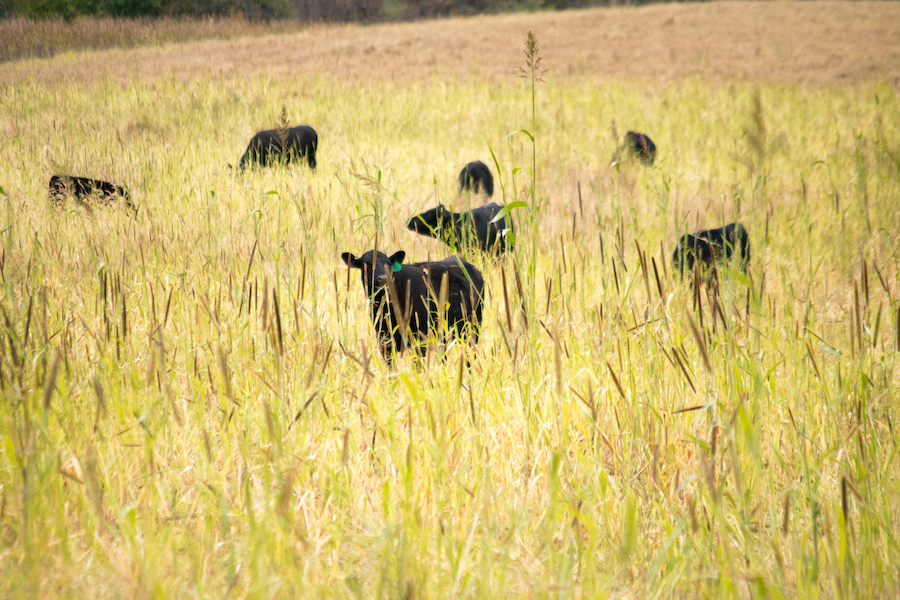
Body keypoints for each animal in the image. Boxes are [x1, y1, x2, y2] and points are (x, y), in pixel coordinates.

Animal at [342, 247, 486, 364]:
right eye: (366, 264)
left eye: (388, 264)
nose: (383, 279)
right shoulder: (385, 341)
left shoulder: (420, 338)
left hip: (473, 328)